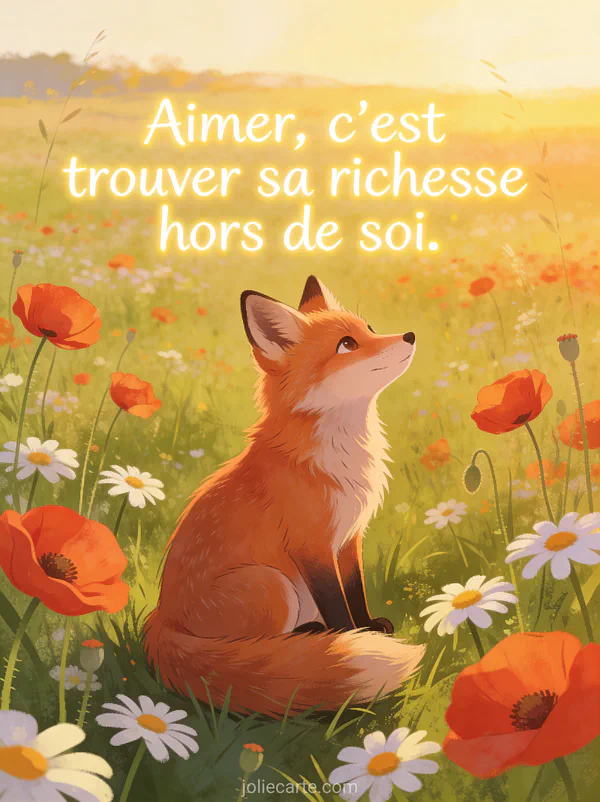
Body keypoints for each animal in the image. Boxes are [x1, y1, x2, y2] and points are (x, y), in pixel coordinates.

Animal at [144, 275, 423, 717]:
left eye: (370, 328)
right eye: (347, 344)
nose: (410, 335)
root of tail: (161, 622)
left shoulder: (349, 537)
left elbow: (355, 589)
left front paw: (368, 628)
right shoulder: (312, 544)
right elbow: (337, 604)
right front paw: (348, 639)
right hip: (272, 585)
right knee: (248, 648)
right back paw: (305, 639)